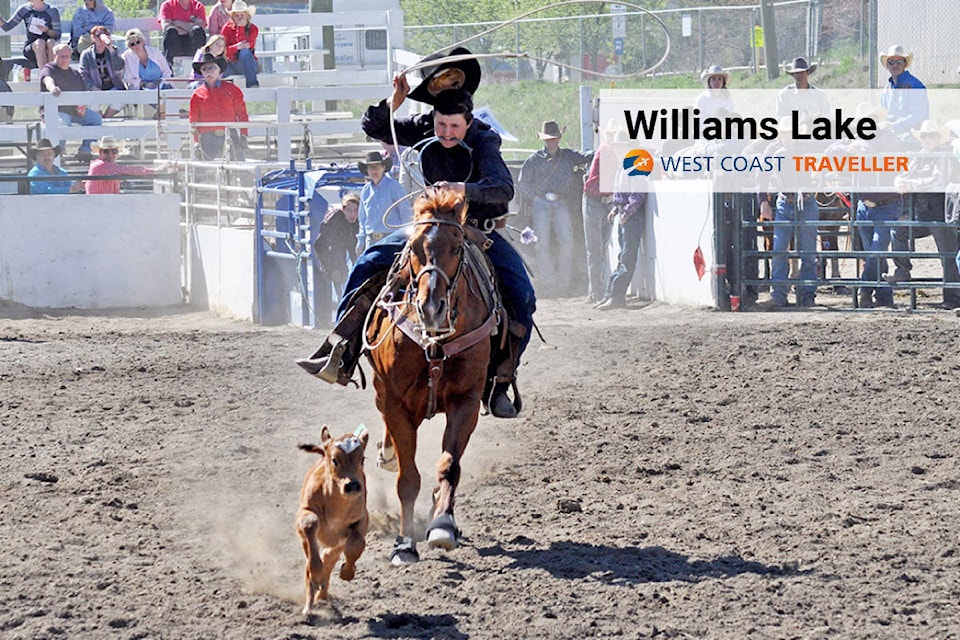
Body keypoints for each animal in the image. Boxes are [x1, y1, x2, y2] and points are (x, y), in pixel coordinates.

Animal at [294, 422, 370, 612]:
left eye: (362, 459)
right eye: (335, 460)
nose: (353, 485)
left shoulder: (363, 518)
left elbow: (356, 543)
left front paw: (347, 572)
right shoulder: (304, 512)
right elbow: (310, 523)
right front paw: (317, 576)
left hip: (336, 545)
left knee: (328, 558)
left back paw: (322, 598)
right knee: (311, 566)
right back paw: (309, 607)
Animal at [366, 186, 502, 564]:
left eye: (456, 248)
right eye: (413, 248)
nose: (431, 308)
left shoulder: (466, 401)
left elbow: (448, 465)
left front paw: (442, 526)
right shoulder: (395, 402)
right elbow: (408, 479)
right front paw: (403, 544)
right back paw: (386, 453)